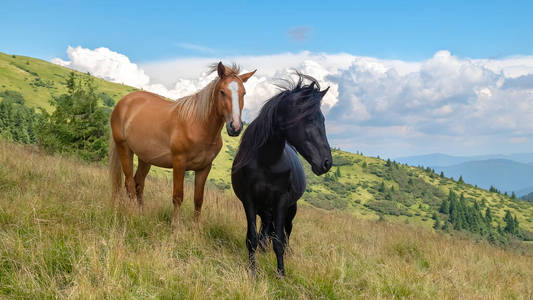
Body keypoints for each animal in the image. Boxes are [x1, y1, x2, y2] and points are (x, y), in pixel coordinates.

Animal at [109, 62, 255, 227]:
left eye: (244, 93)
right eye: (222, 92)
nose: (235, 127)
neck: (198, 125)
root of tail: (124, 102)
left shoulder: (204, 168)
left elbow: (198, 200)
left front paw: (196, 230)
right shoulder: (179, 163)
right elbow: (178, 197)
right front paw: (176, 228)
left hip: (145, 158)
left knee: (138, 183)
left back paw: (141, 216)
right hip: (124, 149)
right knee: (129, 184)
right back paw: (134, 215)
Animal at [231, 74, 330, 276]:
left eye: (322, 120)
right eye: (308, 118)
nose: (327, 163)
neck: (267, 162)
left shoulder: (282, 202)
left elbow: (279, 242)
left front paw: (281, 274)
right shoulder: (249, 201)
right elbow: (252, 238)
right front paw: (253, 272)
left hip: (290, 210)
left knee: (286, 233)